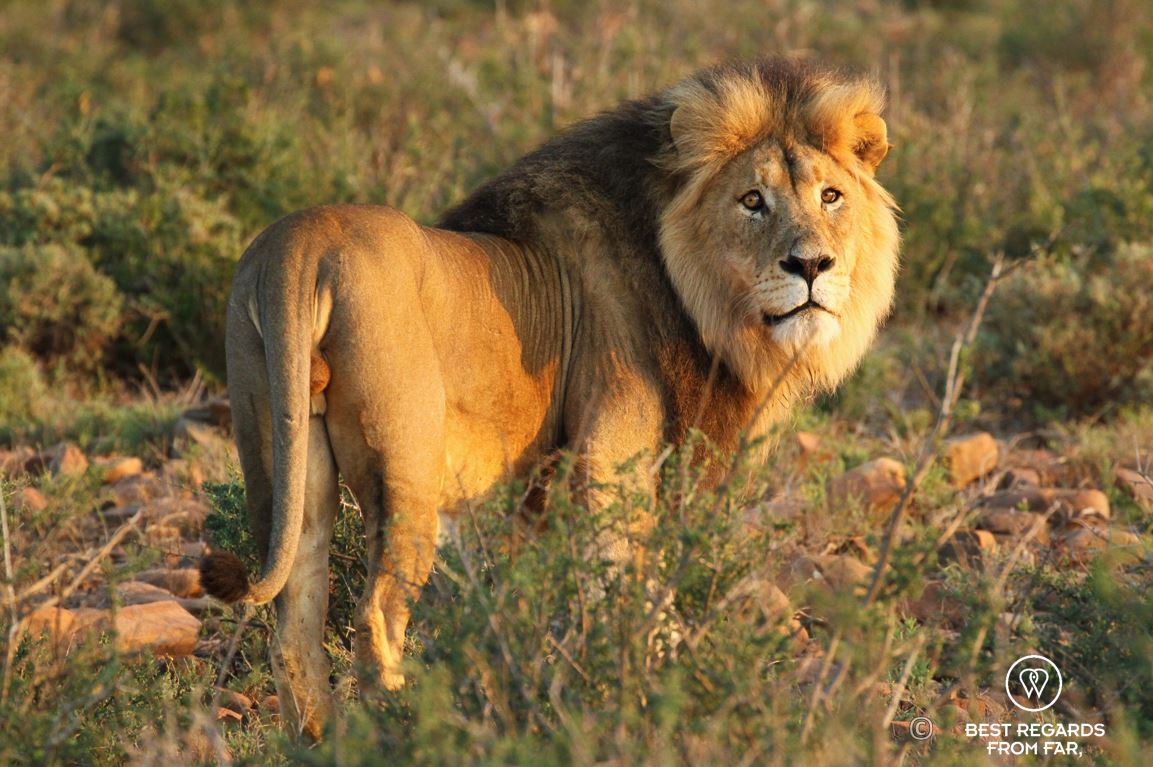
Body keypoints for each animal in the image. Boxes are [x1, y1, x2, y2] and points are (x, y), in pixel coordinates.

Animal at [200, 56, 900, 739]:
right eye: (753, 200)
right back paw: (405, 729)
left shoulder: (533, 495)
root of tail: (301, 244)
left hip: (284, 458)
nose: (810, 265)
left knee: (294, 628)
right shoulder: (610, 460)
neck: (704, 304)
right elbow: (631, 594)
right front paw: (639, 697)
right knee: (375, 620)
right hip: (404, 474)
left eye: (831, 197)